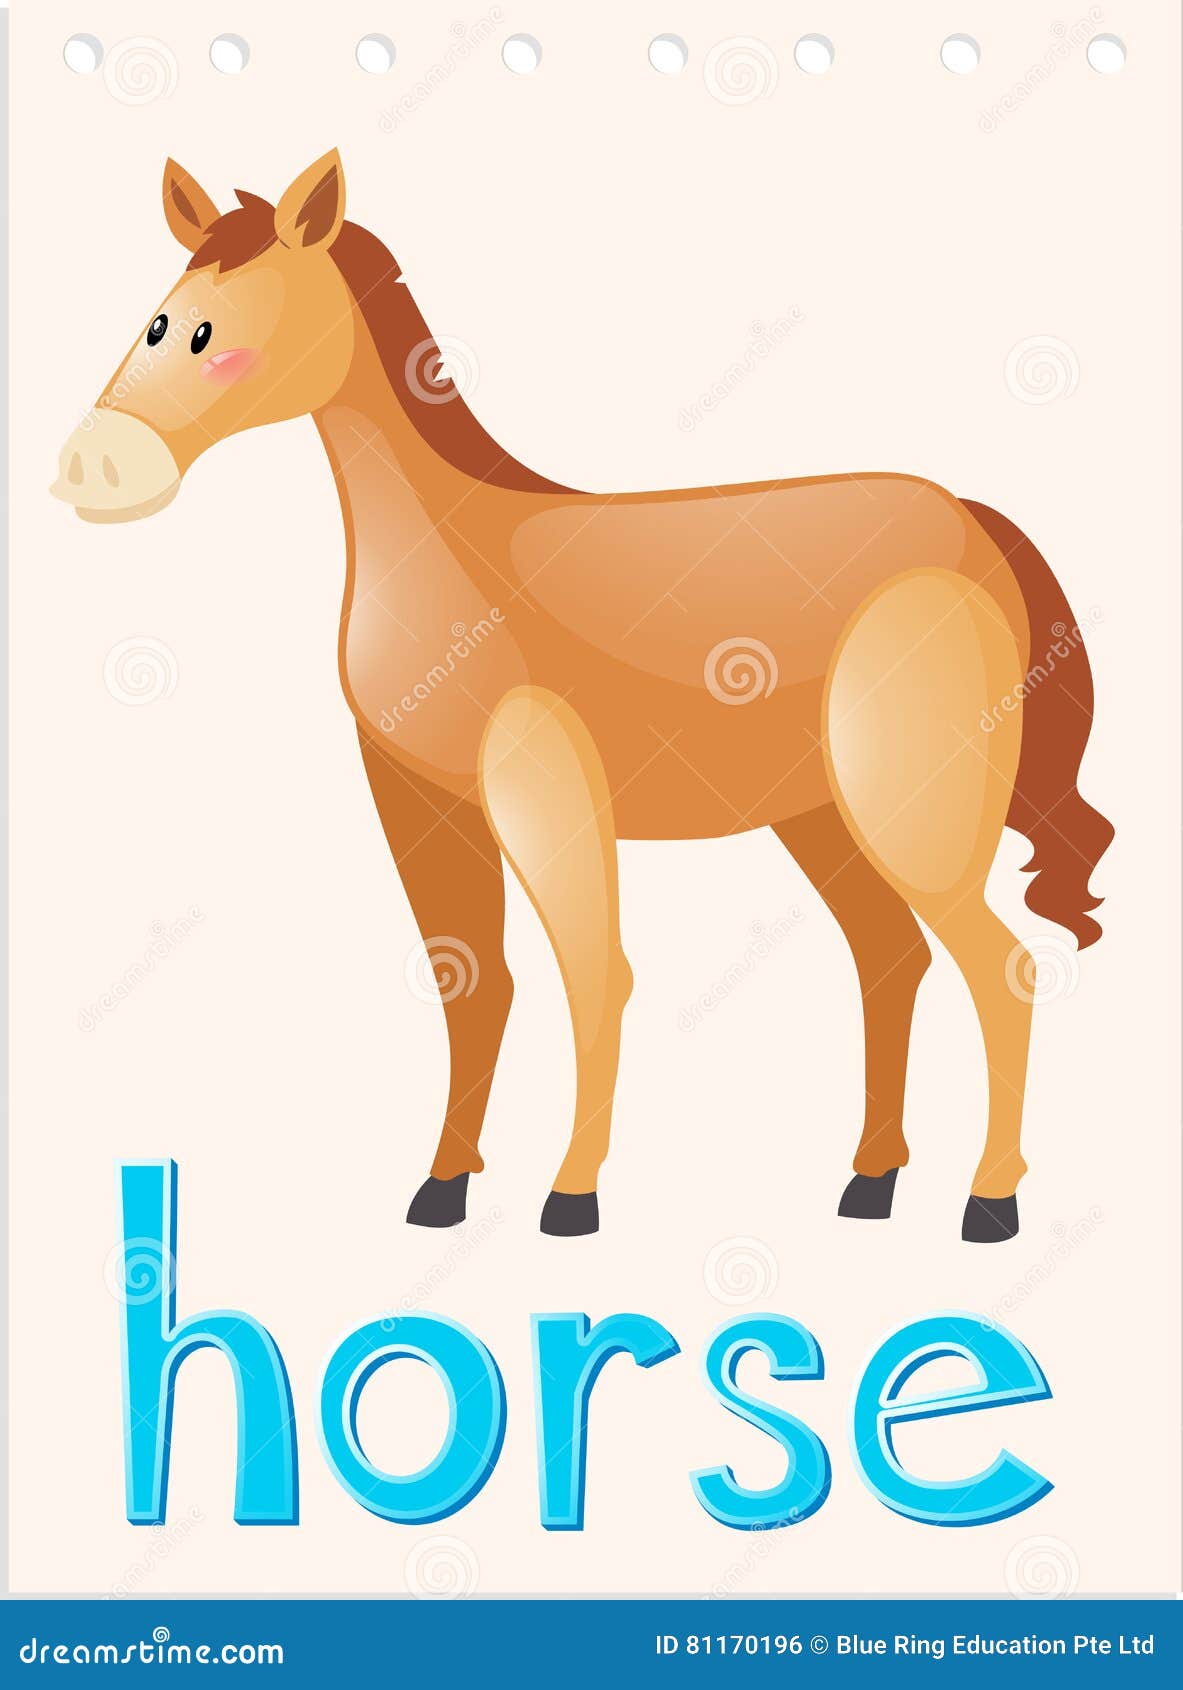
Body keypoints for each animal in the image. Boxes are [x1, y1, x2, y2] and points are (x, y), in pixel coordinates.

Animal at [53, 151, 1113, 1242]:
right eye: (156, 322)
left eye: (203, 333)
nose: (94, 466)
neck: (442, 558)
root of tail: (973, 524)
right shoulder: (415, 797)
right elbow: (470, 982)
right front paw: (443, 1186)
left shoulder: (542, 784)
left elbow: (594, 973)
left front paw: (571, 1192)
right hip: (821, 815)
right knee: (890, 957)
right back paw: (870, 1183)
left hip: (910, 804)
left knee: (1003, 966)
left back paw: (988, 1199)